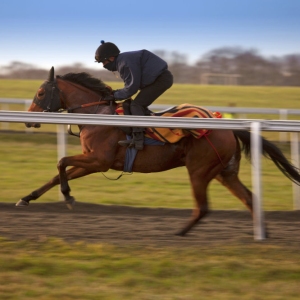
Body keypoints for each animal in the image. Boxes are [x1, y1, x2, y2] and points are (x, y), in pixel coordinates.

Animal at [18, 66, 300, 237]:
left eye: (40, 92)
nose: (28, 119)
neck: (97, 115)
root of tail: (227, 128)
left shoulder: (99, 160)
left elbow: (61, 161)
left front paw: (68, 196)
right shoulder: (93, 162)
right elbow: (57, 173)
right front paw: (28, 198)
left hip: (199, 170)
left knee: (203, 207)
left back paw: (180, 232)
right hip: (225, 172)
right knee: (249, 198)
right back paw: (263, 233)